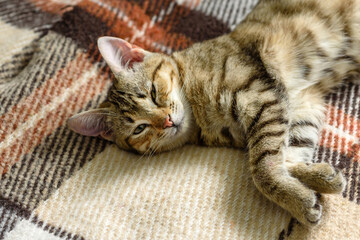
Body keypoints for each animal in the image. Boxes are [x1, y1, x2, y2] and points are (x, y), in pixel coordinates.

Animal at [68, 0, 360, 225]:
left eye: (152, 92)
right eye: (139, 128)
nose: (167, 121)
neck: (201, 117)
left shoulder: (259, 96)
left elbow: (263, 168)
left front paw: (297, 195)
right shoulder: (299, 105)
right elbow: (287, 156)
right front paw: (313, 185)